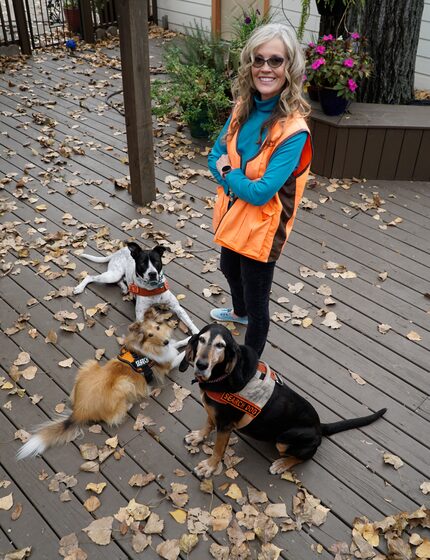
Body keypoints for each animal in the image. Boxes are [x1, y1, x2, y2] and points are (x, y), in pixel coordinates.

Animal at [15, 310, 187, 460]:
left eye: (158, 328)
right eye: (150, 335)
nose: (165, 341)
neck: (146, 348)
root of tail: (80, 411)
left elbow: (178, 344)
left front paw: (188, 339)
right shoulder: (168, 364)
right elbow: (181, 356)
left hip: (89, 365)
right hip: (124, 383)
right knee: (114, 417)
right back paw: (129, 405)